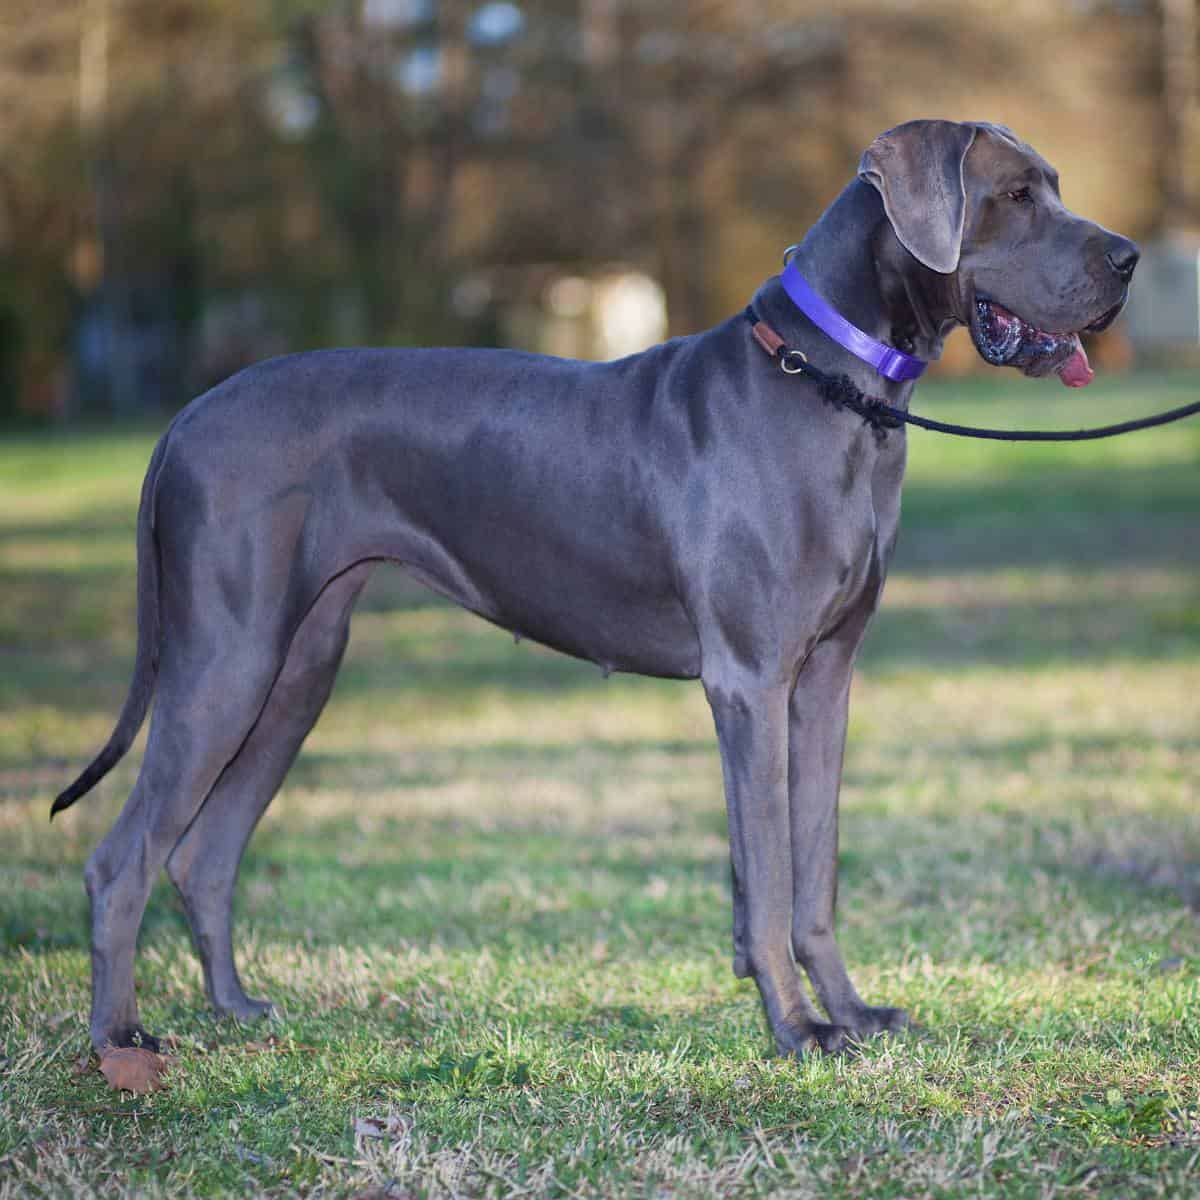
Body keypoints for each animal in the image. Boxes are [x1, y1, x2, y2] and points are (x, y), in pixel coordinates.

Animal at [56, 121, 1137, 1056]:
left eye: (1053, 187)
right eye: (1014, 196)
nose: (1126, 258)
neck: (833, 382)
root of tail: (186, 417)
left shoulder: (825, 679)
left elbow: (812, 870)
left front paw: (849, 1012)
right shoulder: (750, 682)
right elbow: (769, 875)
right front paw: (797, 1030)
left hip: (297, 668)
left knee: (201, 854)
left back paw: (236, 1010)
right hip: (226, 660)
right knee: (121, 860)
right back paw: (118, 1045)